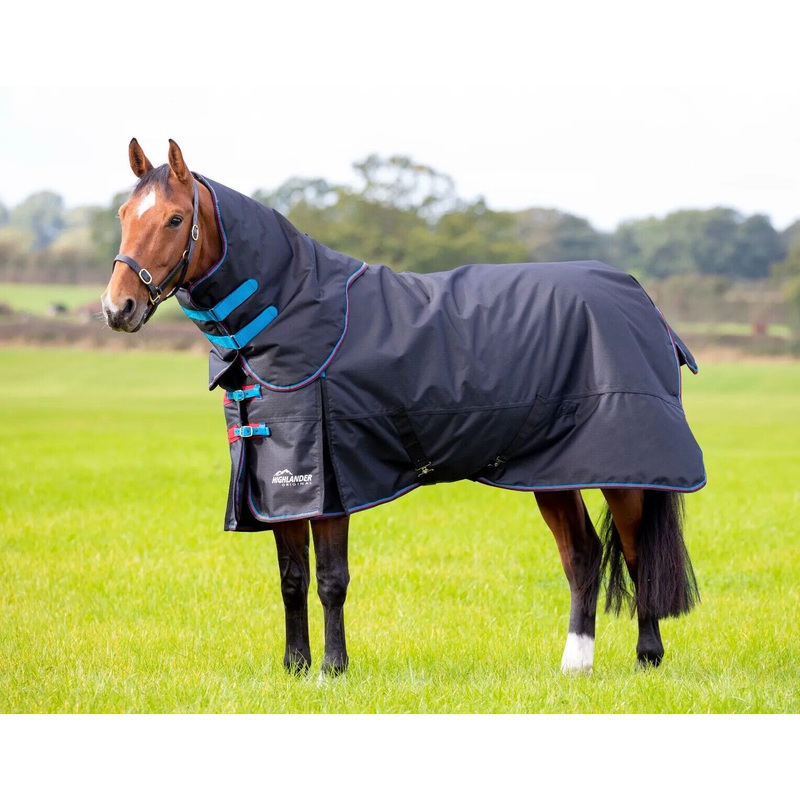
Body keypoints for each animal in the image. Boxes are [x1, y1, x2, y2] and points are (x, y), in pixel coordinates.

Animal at [101, 139, 704, 676]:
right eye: (125, 214)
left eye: (175, 219)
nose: (117, 308)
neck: (288, 312)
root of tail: (642, 299)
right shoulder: (274, 487)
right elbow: (292, 579)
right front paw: (295, 667)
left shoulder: (329, 483)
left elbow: (331, 580)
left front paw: (333, 669)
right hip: (553, 471)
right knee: (581, 556)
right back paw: (574, 665)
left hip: (622, 469)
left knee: (636, 552)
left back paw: (647, 658)